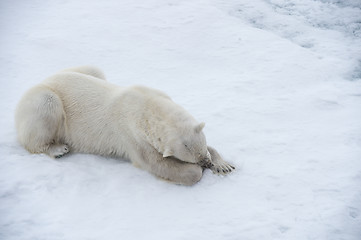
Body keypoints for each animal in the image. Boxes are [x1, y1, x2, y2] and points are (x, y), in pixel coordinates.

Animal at [14, 66, 233, 186]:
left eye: (202, 151)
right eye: (193, 158)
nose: (206, 162)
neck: (148, 104)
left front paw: (224, 165)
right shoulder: (132, 135)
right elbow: (154, 162)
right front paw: (195, 171)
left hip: (84, 71)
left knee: (94, 69)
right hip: (44, 99)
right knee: (44, 112)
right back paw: (58, 149)